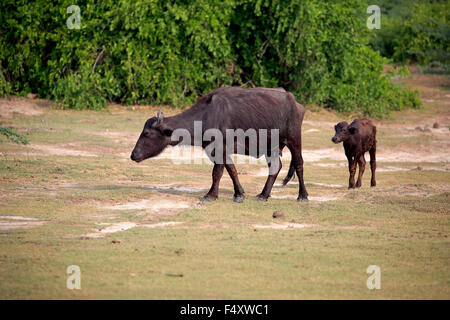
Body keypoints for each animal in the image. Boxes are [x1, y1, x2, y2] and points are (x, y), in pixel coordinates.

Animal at [128, 87, 308, 202]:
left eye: (147, 133)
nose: (133, 154)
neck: (207, 115)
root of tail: (296, 104)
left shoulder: (218, 148)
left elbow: (217, 172)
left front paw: (210, 195)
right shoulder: (220, 151)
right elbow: (232, 170)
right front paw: (239, 194)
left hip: (294, 139)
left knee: (299, 164)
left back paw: (302, 195)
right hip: (271, 147)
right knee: (275, 167)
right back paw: (263, 195)